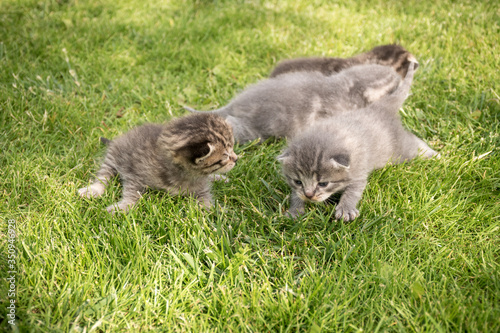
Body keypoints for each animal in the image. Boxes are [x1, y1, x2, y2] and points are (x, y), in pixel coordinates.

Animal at [78, 113, 238, 213]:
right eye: (225, 157)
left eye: (232, 148)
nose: (236, 159)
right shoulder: (134, 172)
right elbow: (132, 193)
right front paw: (124, 206)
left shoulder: (201, 186)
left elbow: (206, 199)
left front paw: (215, 211)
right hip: (115, 154)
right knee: (104, 175)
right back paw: (94, 190)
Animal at [280, 61, 440, 220]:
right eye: (298, 181)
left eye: (323, 183)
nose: (309, 195)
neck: (330, 134)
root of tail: (379, 107)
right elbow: (295, 194)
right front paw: (295, 209)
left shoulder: (358, 171)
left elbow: (353, 191)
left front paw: (346, 208)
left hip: (400, 150)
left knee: (414, 143)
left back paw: (433, 154)